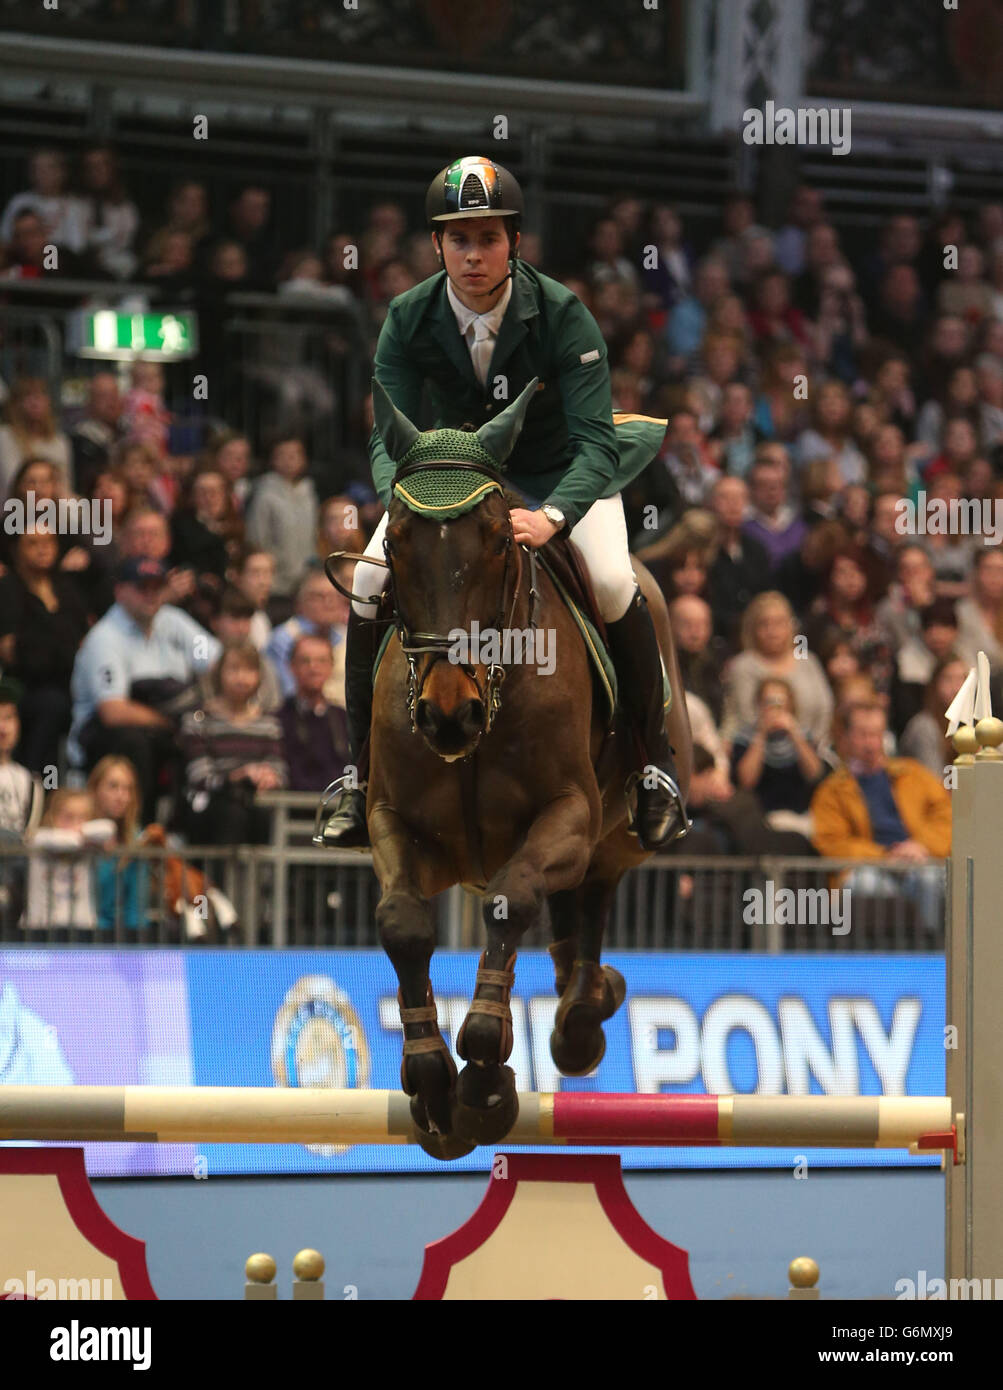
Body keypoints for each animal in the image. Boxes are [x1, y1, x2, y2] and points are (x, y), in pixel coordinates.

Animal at [336, 375, 689, 1156]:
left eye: (499, 542)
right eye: (397, 543)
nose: (447, 715)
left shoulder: (569, 812)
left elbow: (513, 894)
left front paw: (486, 1069)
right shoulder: (394, 821)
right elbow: (402, 921)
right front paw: (432, 1082)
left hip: (617, 826)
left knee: (593, 889)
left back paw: (585, 1014)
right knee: (573, 910)